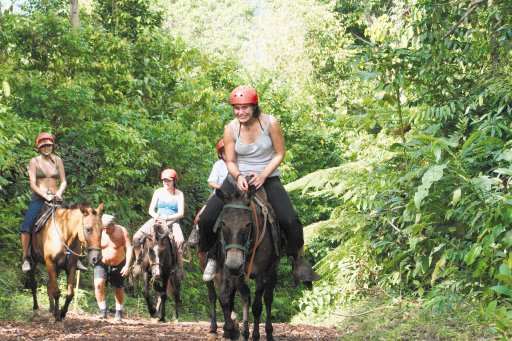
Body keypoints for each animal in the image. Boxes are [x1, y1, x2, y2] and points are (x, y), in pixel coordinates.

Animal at [215, 186, 282, 340]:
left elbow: (257, 306)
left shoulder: (261, 275)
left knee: (268, 299)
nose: (234, 264)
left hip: (272, 272)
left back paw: (268, 332)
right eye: (223, 223)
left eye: (247, 225)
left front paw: (256, 335)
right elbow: (241, 298)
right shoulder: (234, 274)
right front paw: (239, 332)